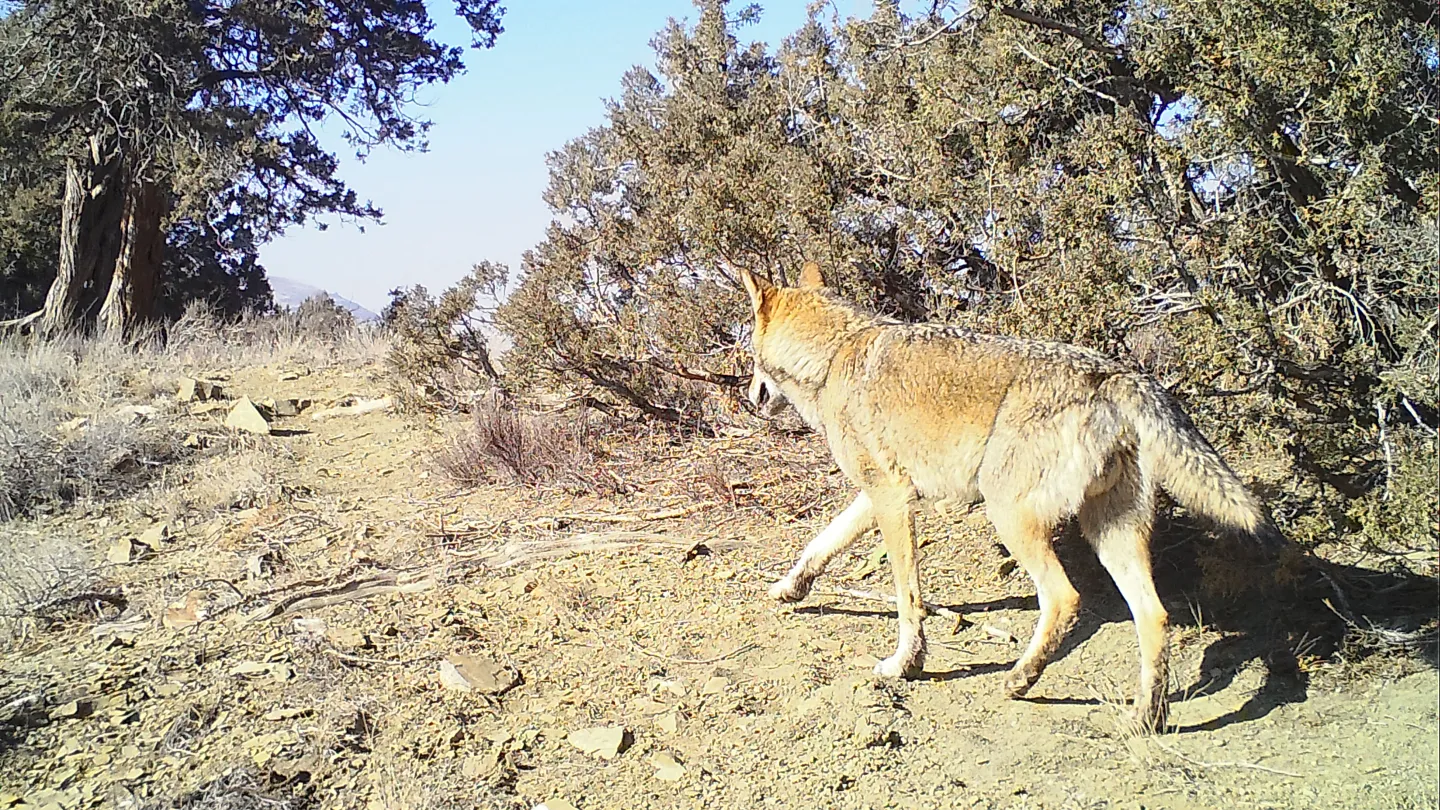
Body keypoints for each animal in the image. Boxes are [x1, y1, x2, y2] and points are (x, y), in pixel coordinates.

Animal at [739, 261, 1280, 732]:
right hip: (1109, 534)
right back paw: (1144, 719)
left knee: (1064, 598)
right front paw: (789, 588)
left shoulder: (892, 498)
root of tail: (1120, 375)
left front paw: (905, 664)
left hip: (1010, 516)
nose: (750, 396)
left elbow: (907, 596)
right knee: (1155, 615)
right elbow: (820, 543)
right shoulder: (879, 496)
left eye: (749, 357)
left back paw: (1021, 679)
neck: (834, 355)